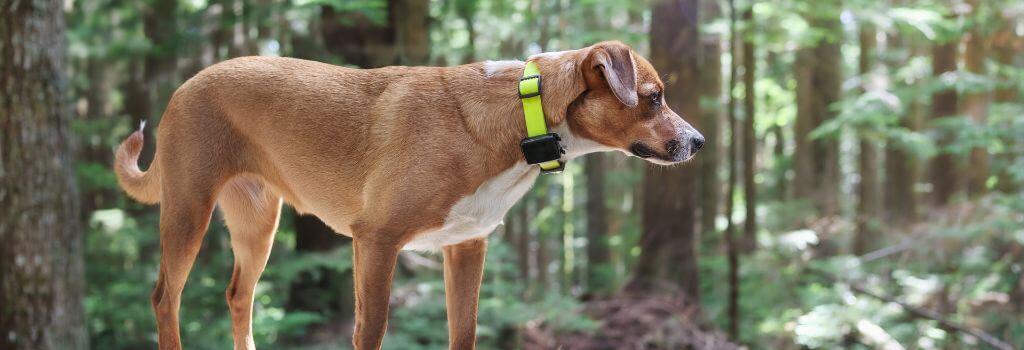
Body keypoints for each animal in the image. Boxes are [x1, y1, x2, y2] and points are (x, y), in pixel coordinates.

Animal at [114, 39, 704, 347]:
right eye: (654, 97)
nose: (699, 142)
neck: (521, 115)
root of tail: (186, 85)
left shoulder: (465, 248)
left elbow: (464, 332)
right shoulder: (376, 242)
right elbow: (372, 331)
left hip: (258, 224)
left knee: (239, 295)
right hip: (188, 210)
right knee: (165, 298)